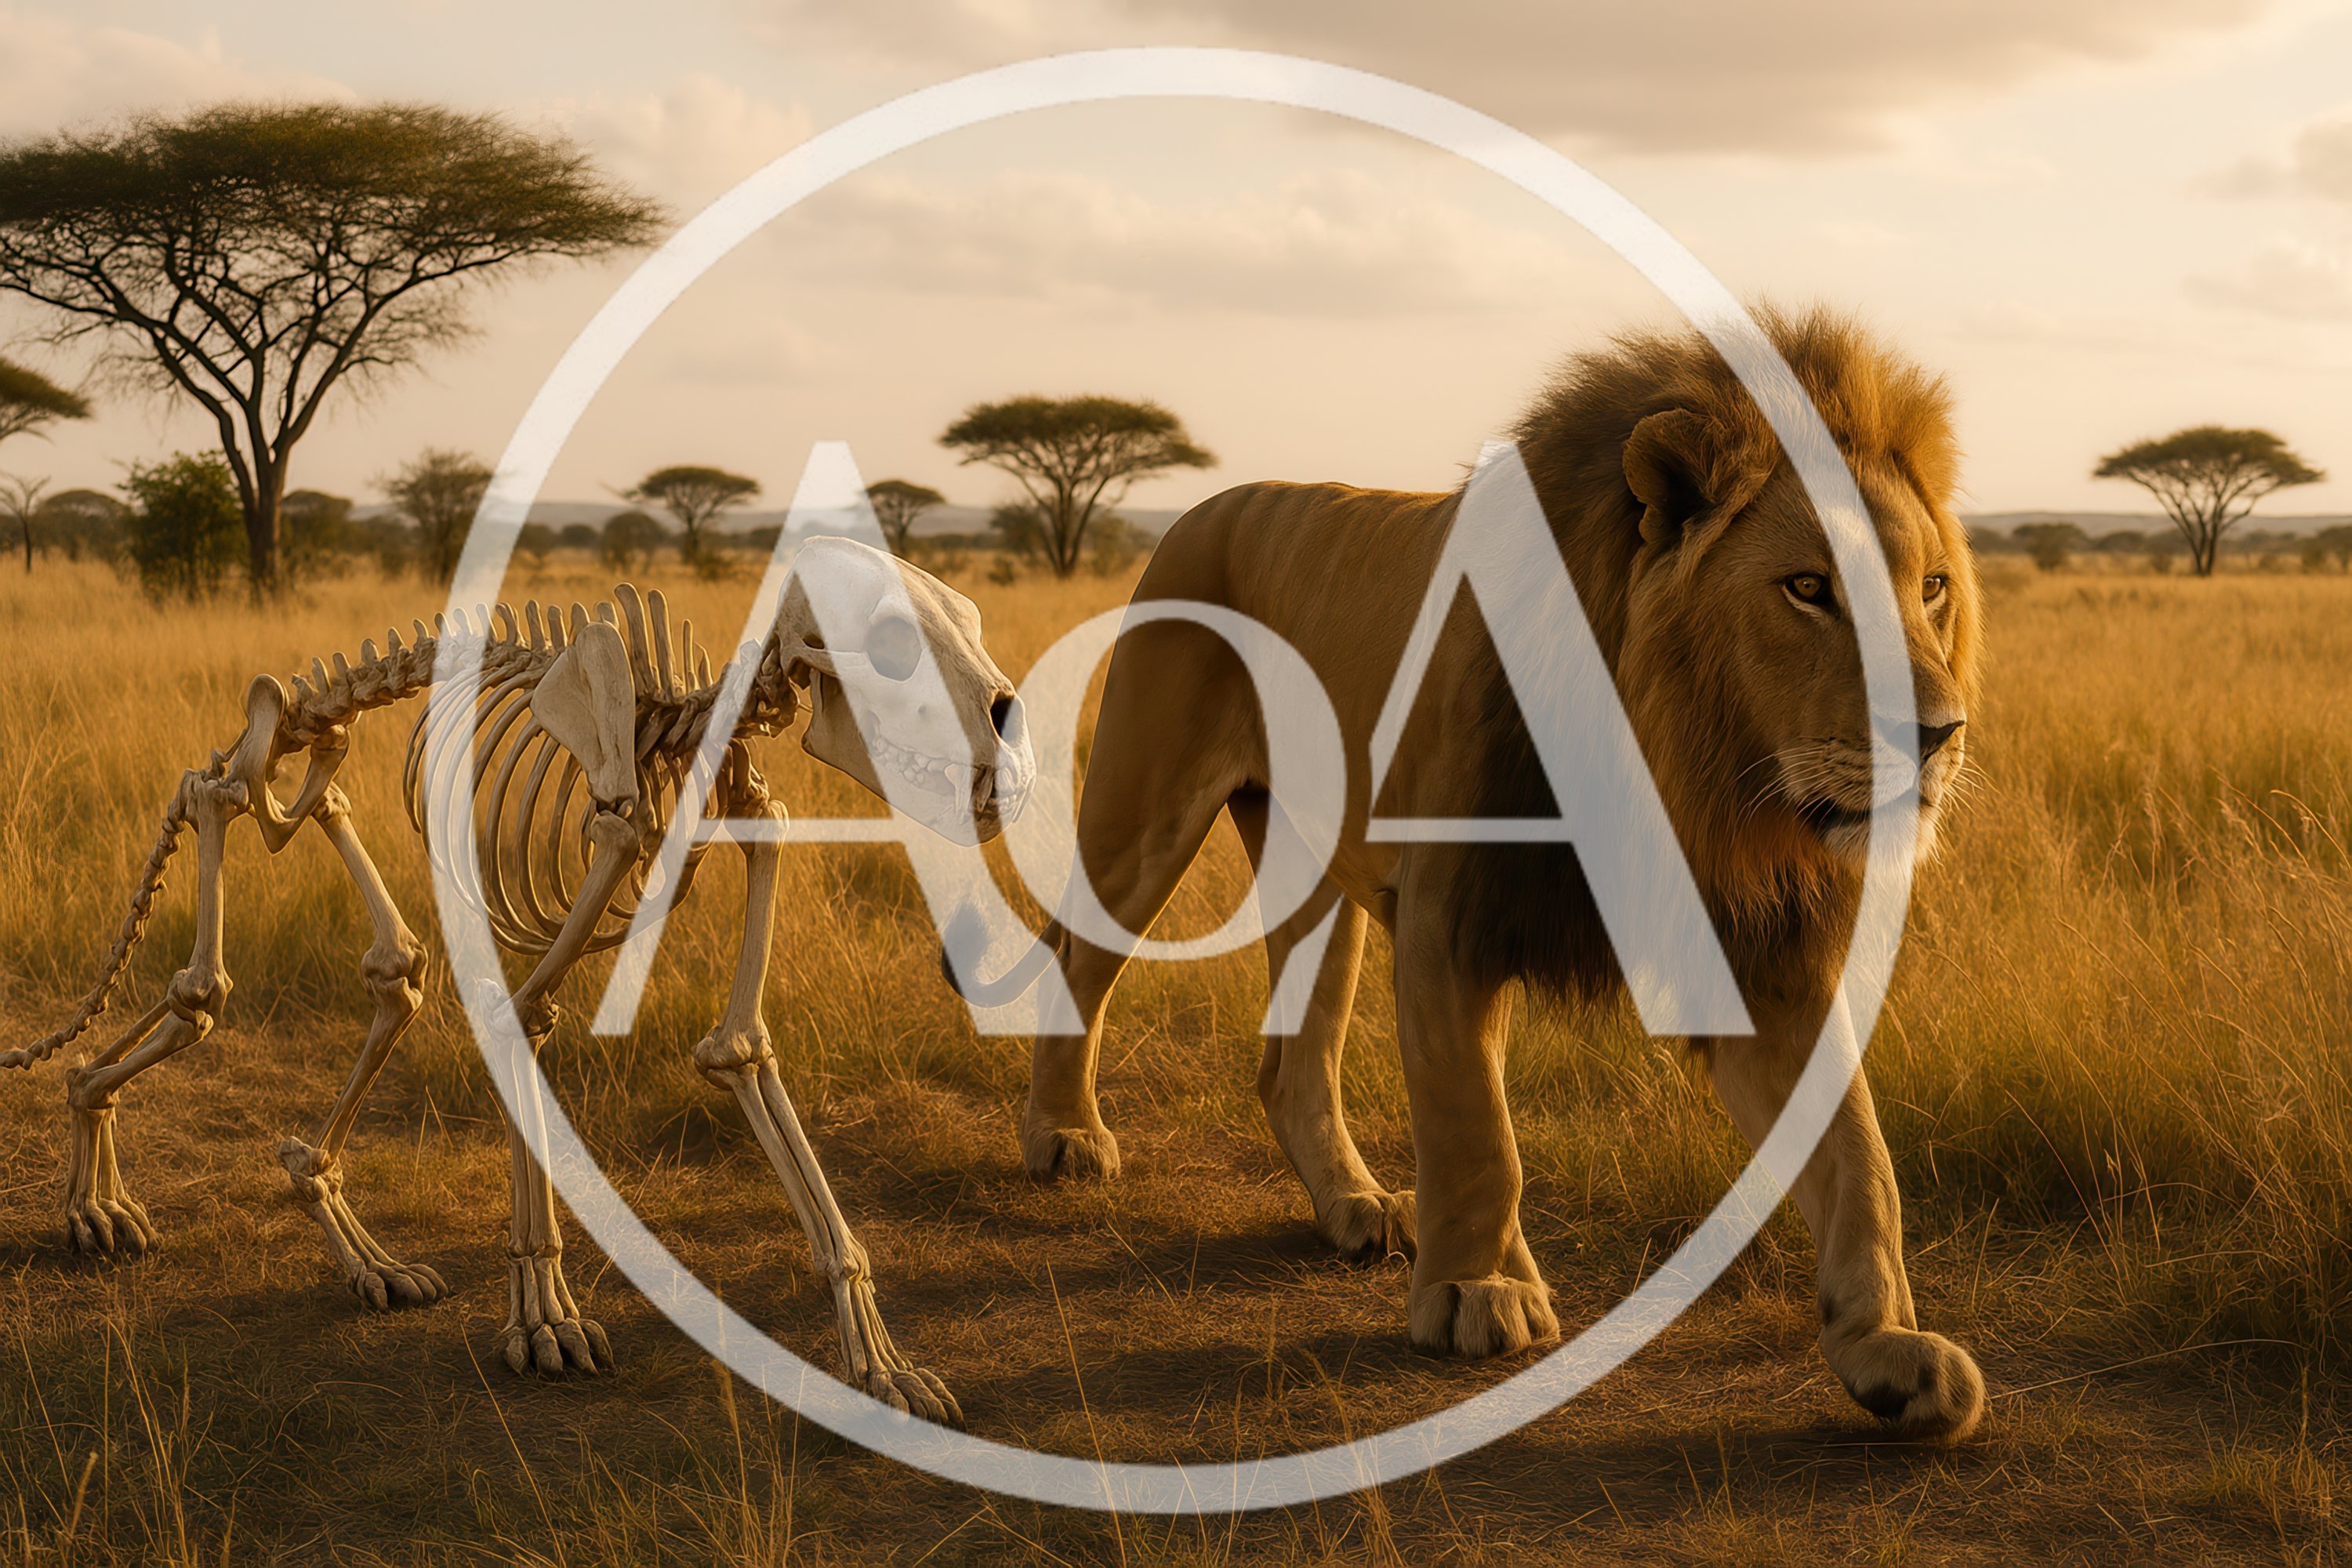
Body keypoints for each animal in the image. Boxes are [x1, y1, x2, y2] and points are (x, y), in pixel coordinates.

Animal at [974, 305, 1985, 1440]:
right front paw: (1479, 1290)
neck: (1689, 774)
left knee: (1291, 1061)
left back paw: (1356, 1207)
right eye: (1809, 588)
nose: (1941, 735)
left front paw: (1885, 1345)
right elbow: (1476, 1125)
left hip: (1313, 869)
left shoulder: (1760, 957)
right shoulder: (1450, 911)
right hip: (1145, 806)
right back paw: (1065, 1136)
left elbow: (1859, 1155)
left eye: (1932, 589)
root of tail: (1212, 503)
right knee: (1076, 958)